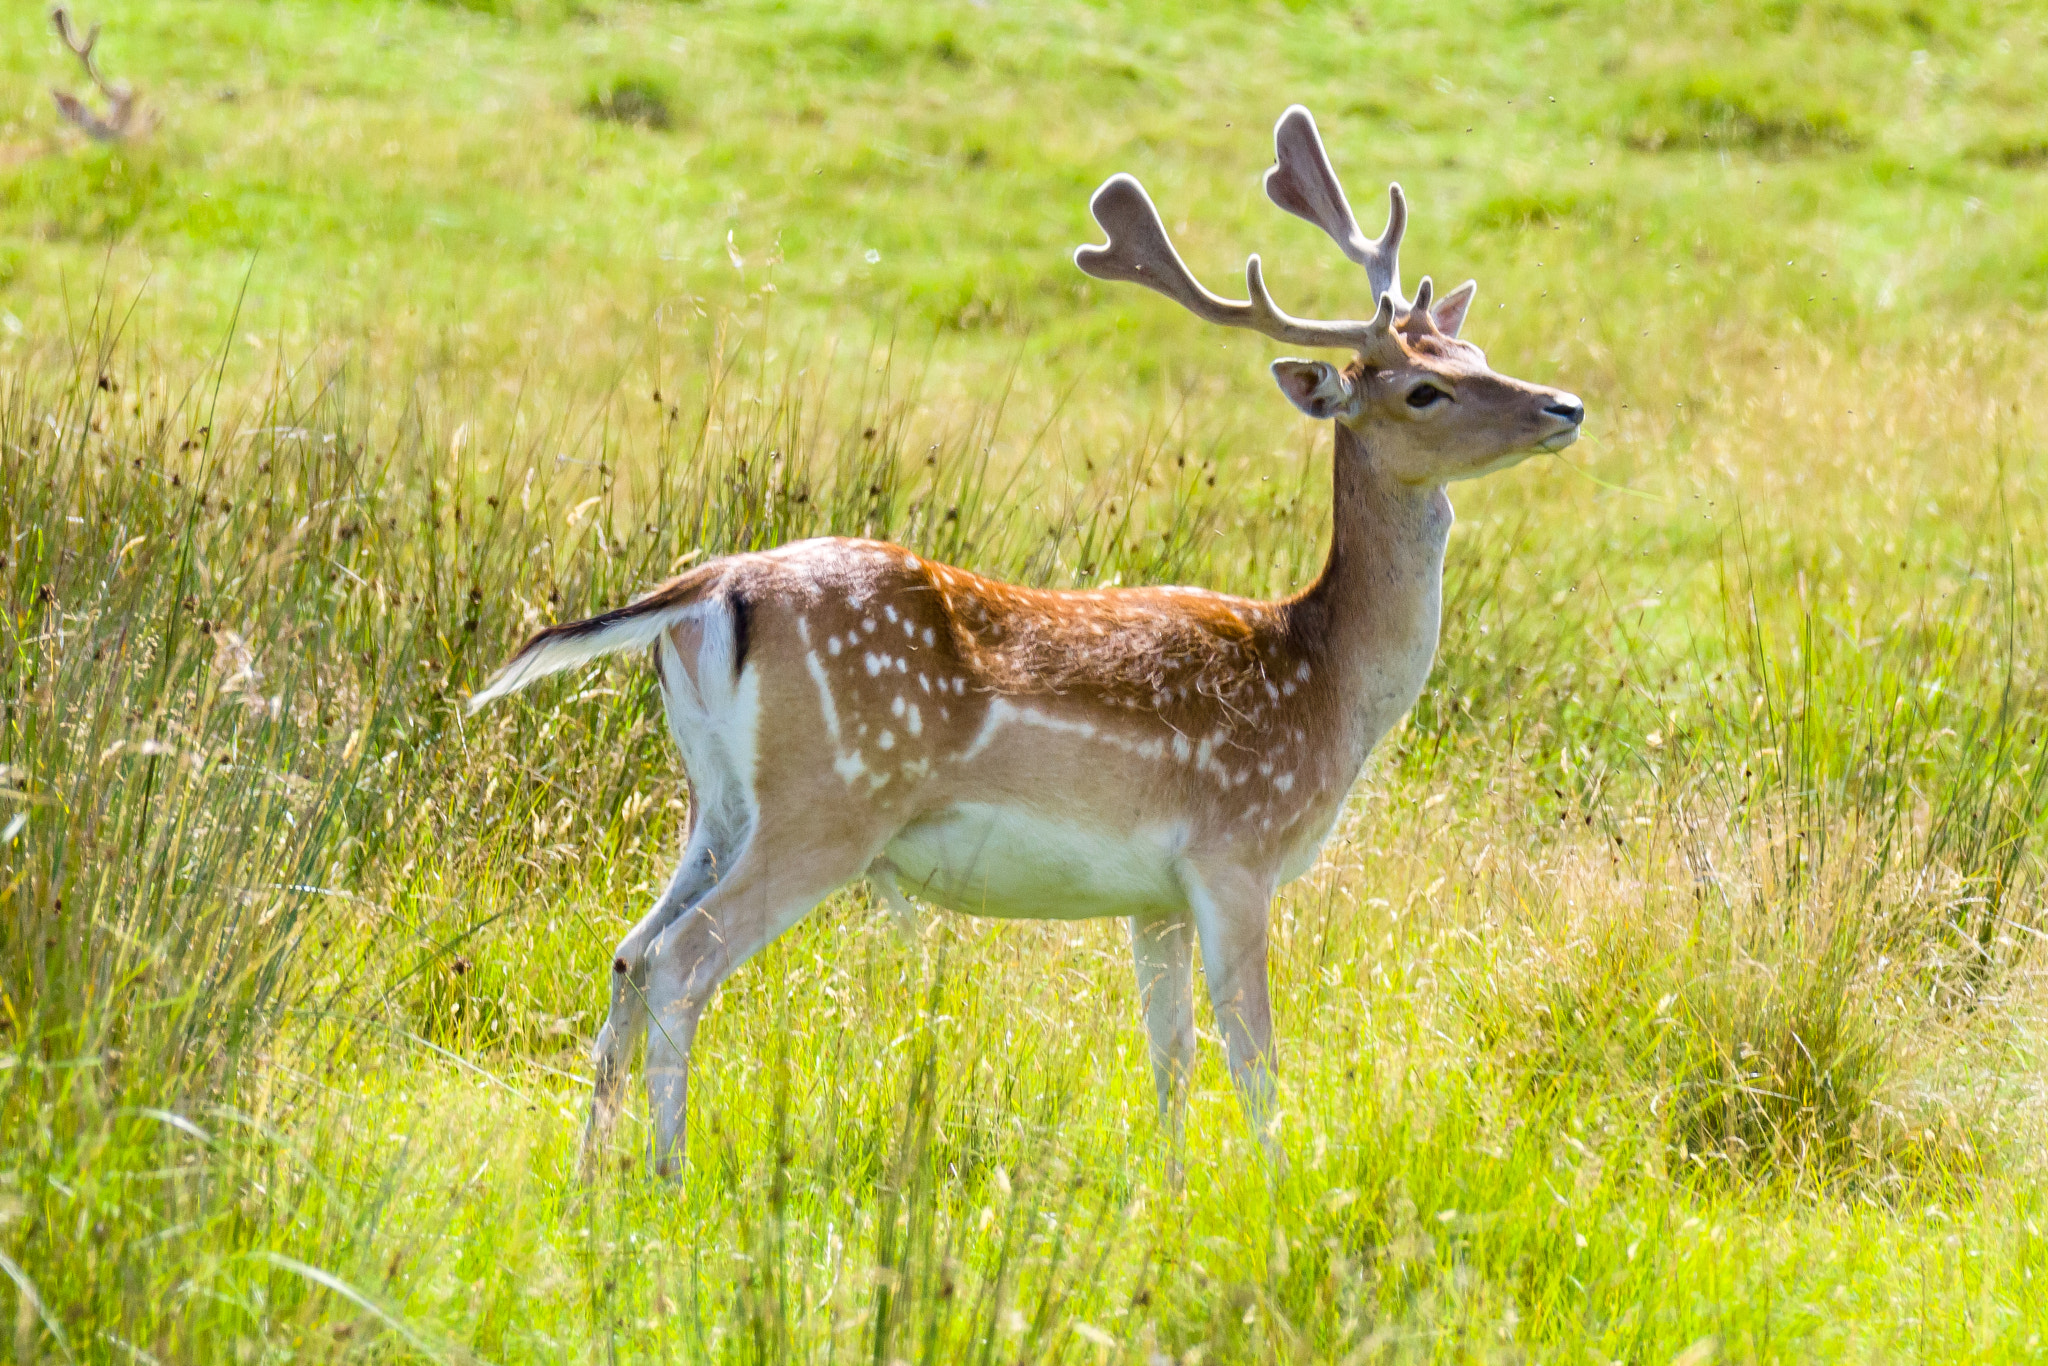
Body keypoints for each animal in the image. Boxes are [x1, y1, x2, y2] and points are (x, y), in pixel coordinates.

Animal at [469, 105, 1584, 1179]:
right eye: (1422, 389)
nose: (1563, 404)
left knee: (627, 953)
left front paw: (1169, 1198)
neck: (1326, 682)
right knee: (681, 962)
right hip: (831, 801)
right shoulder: (1235, 849)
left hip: (715, 805)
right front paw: (1281, 1192)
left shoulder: (1154, 894)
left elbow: (1170, 1058)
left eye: (1475, 355)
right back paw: (666, 1171)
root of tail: (706, 591)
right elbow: (1253, 1058)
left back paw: (590, 1178)